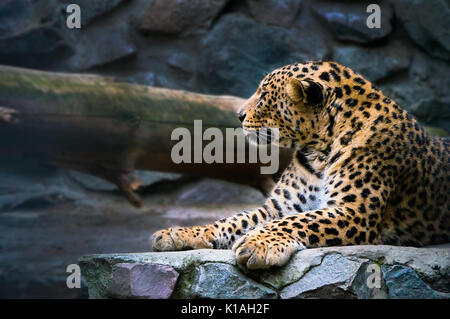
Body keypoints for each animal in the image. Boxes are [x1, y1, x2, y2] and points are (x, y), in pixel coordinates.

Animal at [152, 60, 450, 270]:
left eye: (263, 95)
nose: (238, 115)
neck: (318, 149)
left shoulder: (354, 213)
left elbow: (299, 221)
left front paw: (257, 244)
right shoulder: (278, 207)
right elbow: (233, 220)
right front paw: (178, 233)